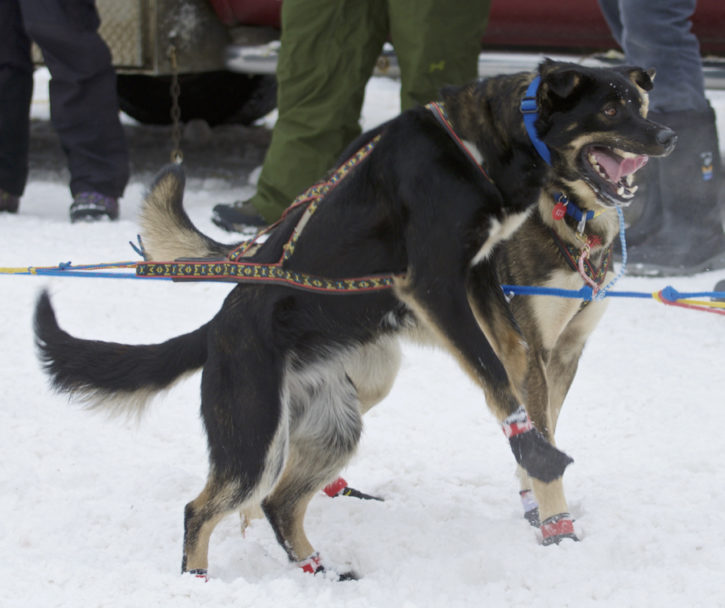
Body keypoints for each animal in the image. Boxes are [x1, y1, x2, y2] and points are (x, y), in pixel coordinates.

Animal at [34, 60, 675, 579]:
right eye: (611, 107)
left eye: (638, 103)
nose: (668, 135)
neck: (477, 148)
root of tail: (216, 329)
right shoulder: (433, 282)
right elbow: (497, 379)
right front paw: (539, 465)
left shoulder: (479, 279)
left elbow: (515, 363)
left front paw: (534, 451)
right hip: (253, 437)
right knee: (205, 508)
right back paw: (198, 583)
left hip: (339, 420)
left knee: (278, 502)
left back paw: (320, 571)